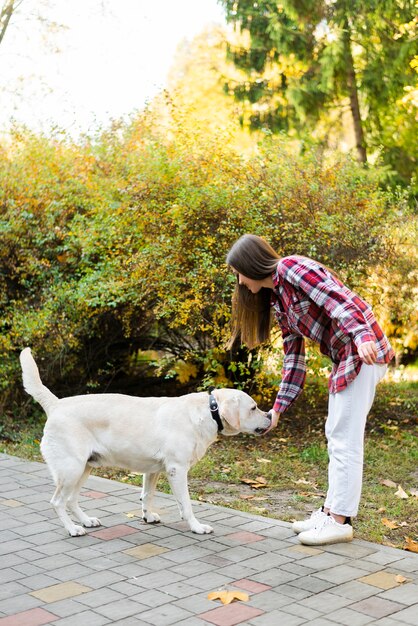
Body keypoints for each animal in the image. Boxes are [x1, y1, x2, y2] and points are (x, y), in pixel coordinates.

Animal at [20, 346, 272, 536]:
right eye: (253, 408)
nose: (270, 415)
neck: (208, 412)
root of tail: (56, 404)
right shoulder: (177, 469)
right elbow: (186, 503)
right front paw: (196, 526)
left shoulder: (153, 470)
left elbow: (147, 495)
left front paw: (147, 516)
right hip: (71, 468)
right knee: (57, 501)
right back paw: (72, 528)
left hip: (84, 468)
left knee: (71, 499)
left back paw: (86, 520)